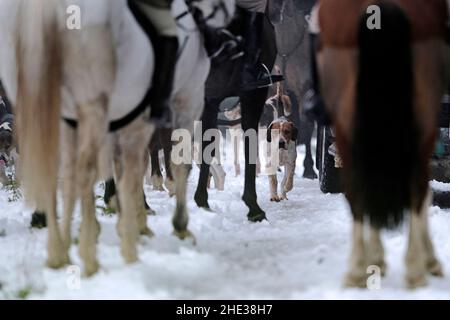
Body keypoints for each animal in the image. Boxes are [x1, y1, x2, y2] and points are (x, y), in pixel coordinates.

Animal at [1, 0, 236, 276]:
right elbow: (169, 167)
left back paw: (60, 249)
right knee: (84, 172)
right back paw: (89, 252)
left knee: (60, 173)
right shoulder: (186, 102)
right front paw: (168, 226)